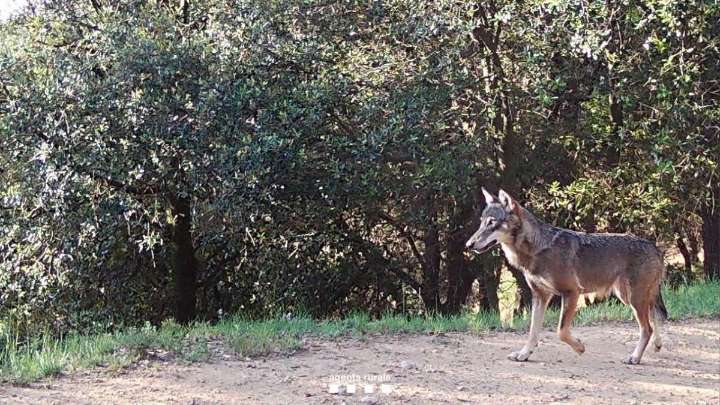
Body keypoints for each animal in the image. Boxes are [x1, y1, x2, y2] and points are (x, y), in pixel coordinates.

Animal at [465, 188, 667, 364]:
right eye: (482, 222)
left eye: (492, 222)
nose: (468, 244)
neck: (537, 249)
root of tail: (655, 247)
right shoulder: (539, 296)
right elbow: (533, 332)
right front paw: (524, 354)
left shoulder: (571, 292)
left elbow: (560, 331)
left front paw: (580, 347)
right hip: (628, 297)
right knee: (654, 315)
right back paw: (657, 345)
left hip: (633, 299)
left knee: (647, 328)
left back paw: (635, 357)